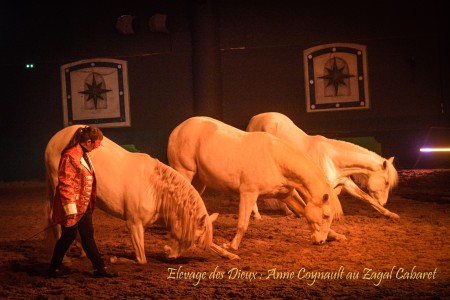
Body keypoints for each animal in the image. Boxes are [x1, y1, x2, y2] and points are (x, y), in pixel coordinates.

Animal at [44, 125, 239, 264]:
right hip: (58, 189)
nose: (170, 255)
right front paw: (116, 259)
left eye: (197, 240)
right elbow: (142, 259)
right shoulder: (134, 224)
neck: (155, 190)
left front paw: (230, 255)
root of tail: (55, 139)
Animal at [167, 116, 342, 251]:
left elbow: (303, 210)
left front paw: (337, 235)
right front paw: (231, 246)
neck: (276, 160)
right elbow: (243, 223)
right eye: (326, 215)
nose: (320, 241)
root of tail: (178, 129)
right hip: (185, 172)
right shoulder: (248, 193)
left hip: (199, 181)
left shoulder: (286, 194)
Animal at [248, 111, 400, 219]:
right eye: (387, 182)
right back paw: (258, 215)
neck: (332, 159)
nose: (383, 202)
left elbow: (366, 198)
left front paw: (391, 214)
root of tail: (253, 120)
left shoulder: (346, 183)